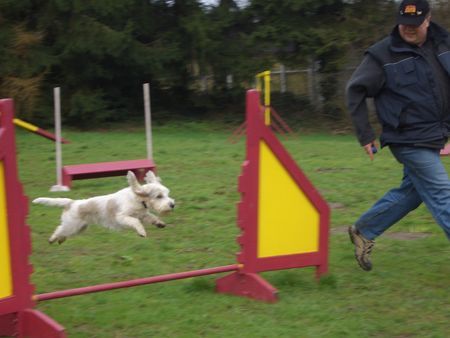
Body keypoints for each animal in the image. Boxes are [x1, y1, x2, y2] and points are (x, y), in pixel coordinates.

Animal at [31, 170, 175, 244]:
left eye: (167, 194)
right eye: (159, 196)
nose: (172, 204)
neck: (137, 199)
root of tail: (72, 202)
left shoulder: (143, 214)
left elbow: (151, 217)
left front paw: (160, 223)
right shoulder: (122, 217)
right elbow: (135, 222)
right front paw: (141, 232)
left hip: (79, 228)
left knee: (63, 232)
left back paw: (60, 240)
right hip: (72, 225)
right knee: (59, 228)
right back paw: (52, 239)